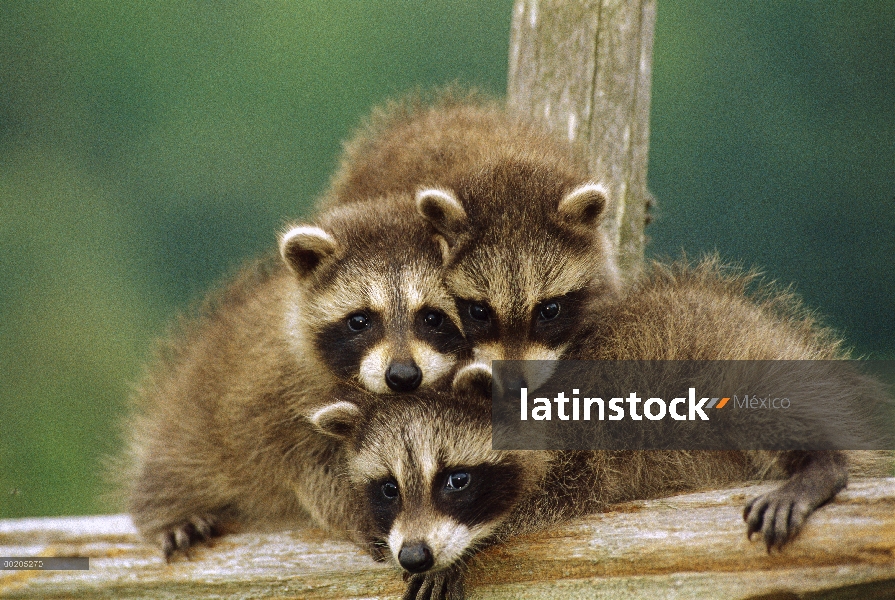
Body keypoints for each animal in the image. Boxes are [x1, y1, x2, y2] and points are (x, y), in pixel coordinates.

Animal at [126, 193, 468, 552]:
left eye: (433, 317)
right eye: (360, 320)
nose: (403, 376)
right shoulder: (273, 399)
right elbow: (309, 468)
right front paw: (364, 509)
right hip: (190, 425)